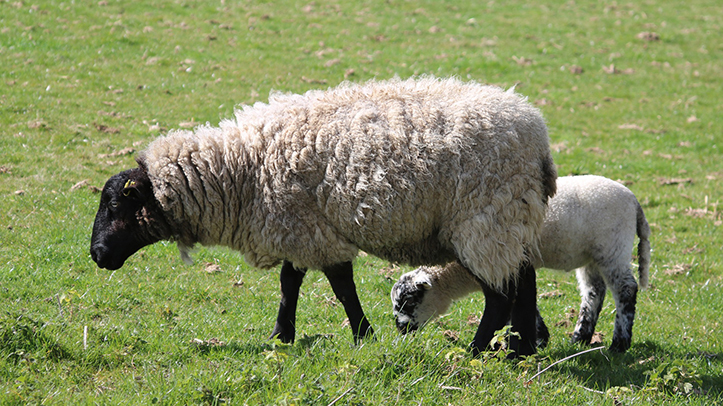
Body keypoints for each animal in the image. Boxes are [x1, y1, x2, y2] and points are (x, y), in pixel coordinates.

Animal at [90, 76, 557, 356]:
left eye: (114, 206)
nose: (96, 255)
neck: (240, 169)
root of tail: (537, 134)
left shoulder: (312, 230)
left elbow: (341, 287)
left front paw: (362, 336)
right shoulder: (298, 228)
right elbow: (290, 283)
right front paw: (282, 336)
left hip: (485, 220)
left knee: (499, 295)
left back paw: (476, 349)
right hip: (511, 219)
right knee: (523, 281)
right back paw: (520, 349)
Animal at [391, 175, 650, 353]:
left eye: (410, 302)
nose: (400, 328)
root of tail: (633, 201)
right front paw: (541, 337)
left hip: (613, 247)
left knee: (626, 289)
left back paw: (619, 344)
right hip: (592, 254)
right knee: (594, 291)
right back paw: (580, 337)